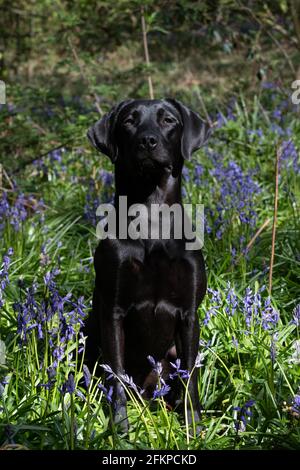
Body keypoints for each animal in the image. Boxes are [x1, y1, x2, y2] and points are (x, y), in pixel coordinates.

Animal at [85, 98, 211, 430]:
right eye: (129, 121)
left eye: (168, 120)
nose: (148, 141)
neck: (152, 217)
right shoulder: (112, 310)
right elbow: (116, 375)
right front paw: (120, 428)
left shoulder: (189, 314)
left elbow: (190, 377)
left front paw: (193, 426)